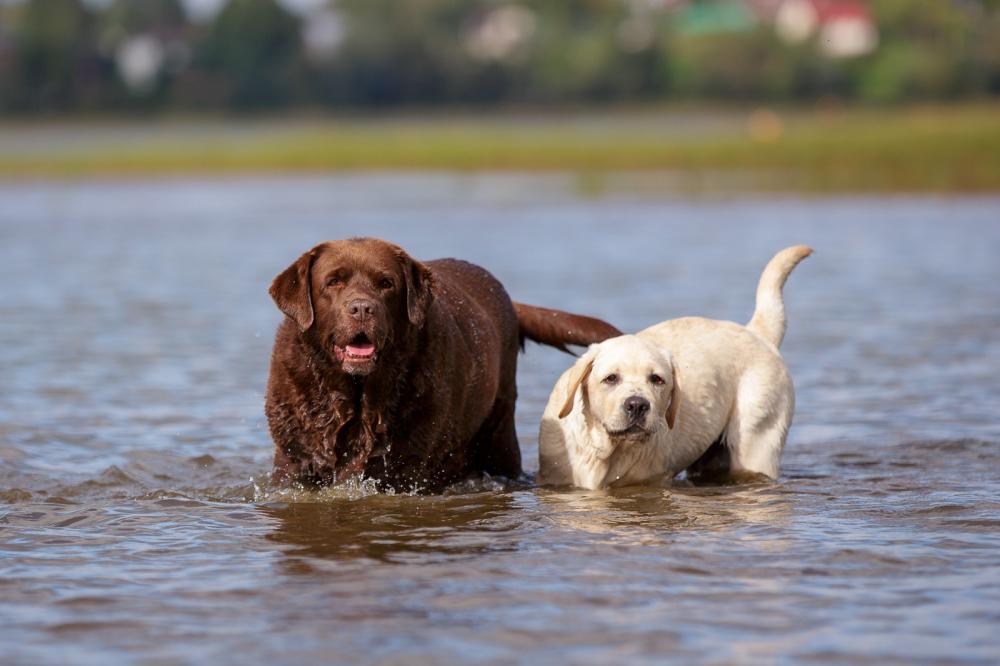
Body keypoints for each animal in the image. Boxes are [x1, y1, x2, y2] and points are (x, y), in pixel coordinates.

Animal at [266, 236, 616, 490]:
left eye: (386, 283)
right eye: (333, 282)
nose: (362, 308)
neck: (358, 394)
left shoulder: (406, 465)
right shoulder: (293, 461)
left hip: (499, 431)